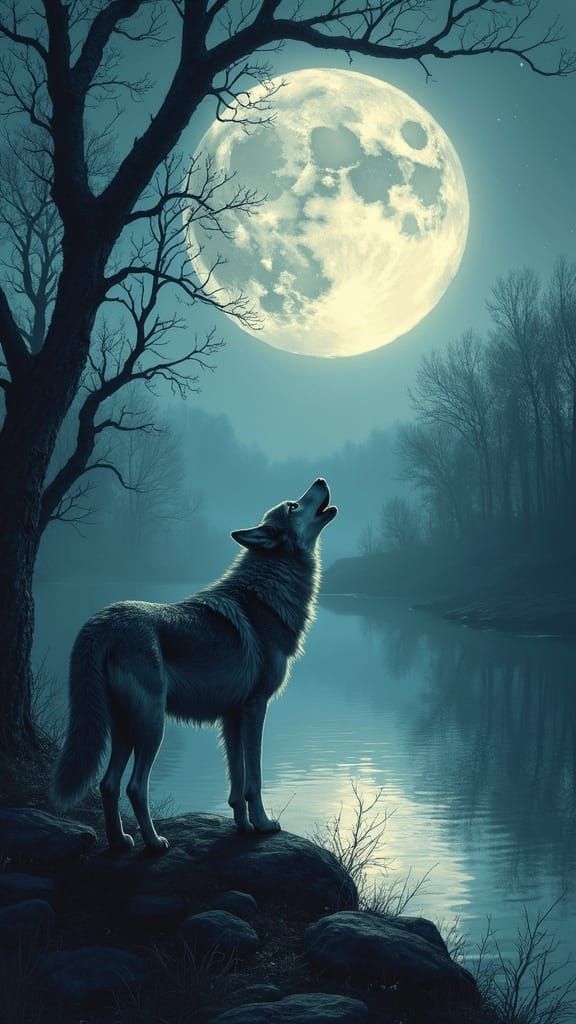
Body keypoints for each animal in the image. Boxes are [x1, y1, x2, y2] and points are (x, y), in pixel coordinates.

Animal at [51, 478, 337, 851]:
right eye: (292, 505)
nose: (320, 480)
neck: (265, 596)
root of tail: (101, 621)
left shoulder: (231, 716)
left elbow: (237, 783)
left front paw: (243, 827)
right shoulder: (256, 707)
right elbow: (254, 780)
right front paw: (262, 825)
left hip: (126, 726)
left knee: (108, 784)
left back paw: (120, 842)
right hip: (152, 726)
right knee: (134, 786)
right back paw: (154, 842)